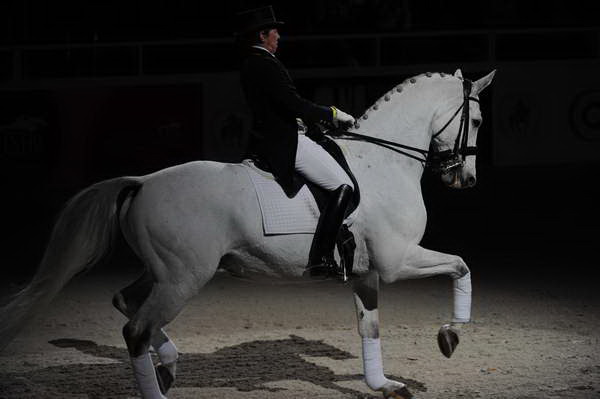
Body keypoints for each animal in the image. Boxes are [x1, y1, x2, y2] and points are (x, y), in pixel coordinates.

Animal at [2, 69, 494, 399]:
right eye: (478, 120)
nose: (466, 179)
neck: (384, 162)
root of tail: (141, 183)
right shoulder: (398, 260)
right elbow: (461, 265)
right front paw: (450, 335)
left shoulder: (366, 273)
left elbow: (369, 328)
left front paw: (384, 384)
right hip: (184, 278)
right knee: (136, 328)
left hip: (166, 272)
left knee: (126, 303)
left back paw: (170, 364)